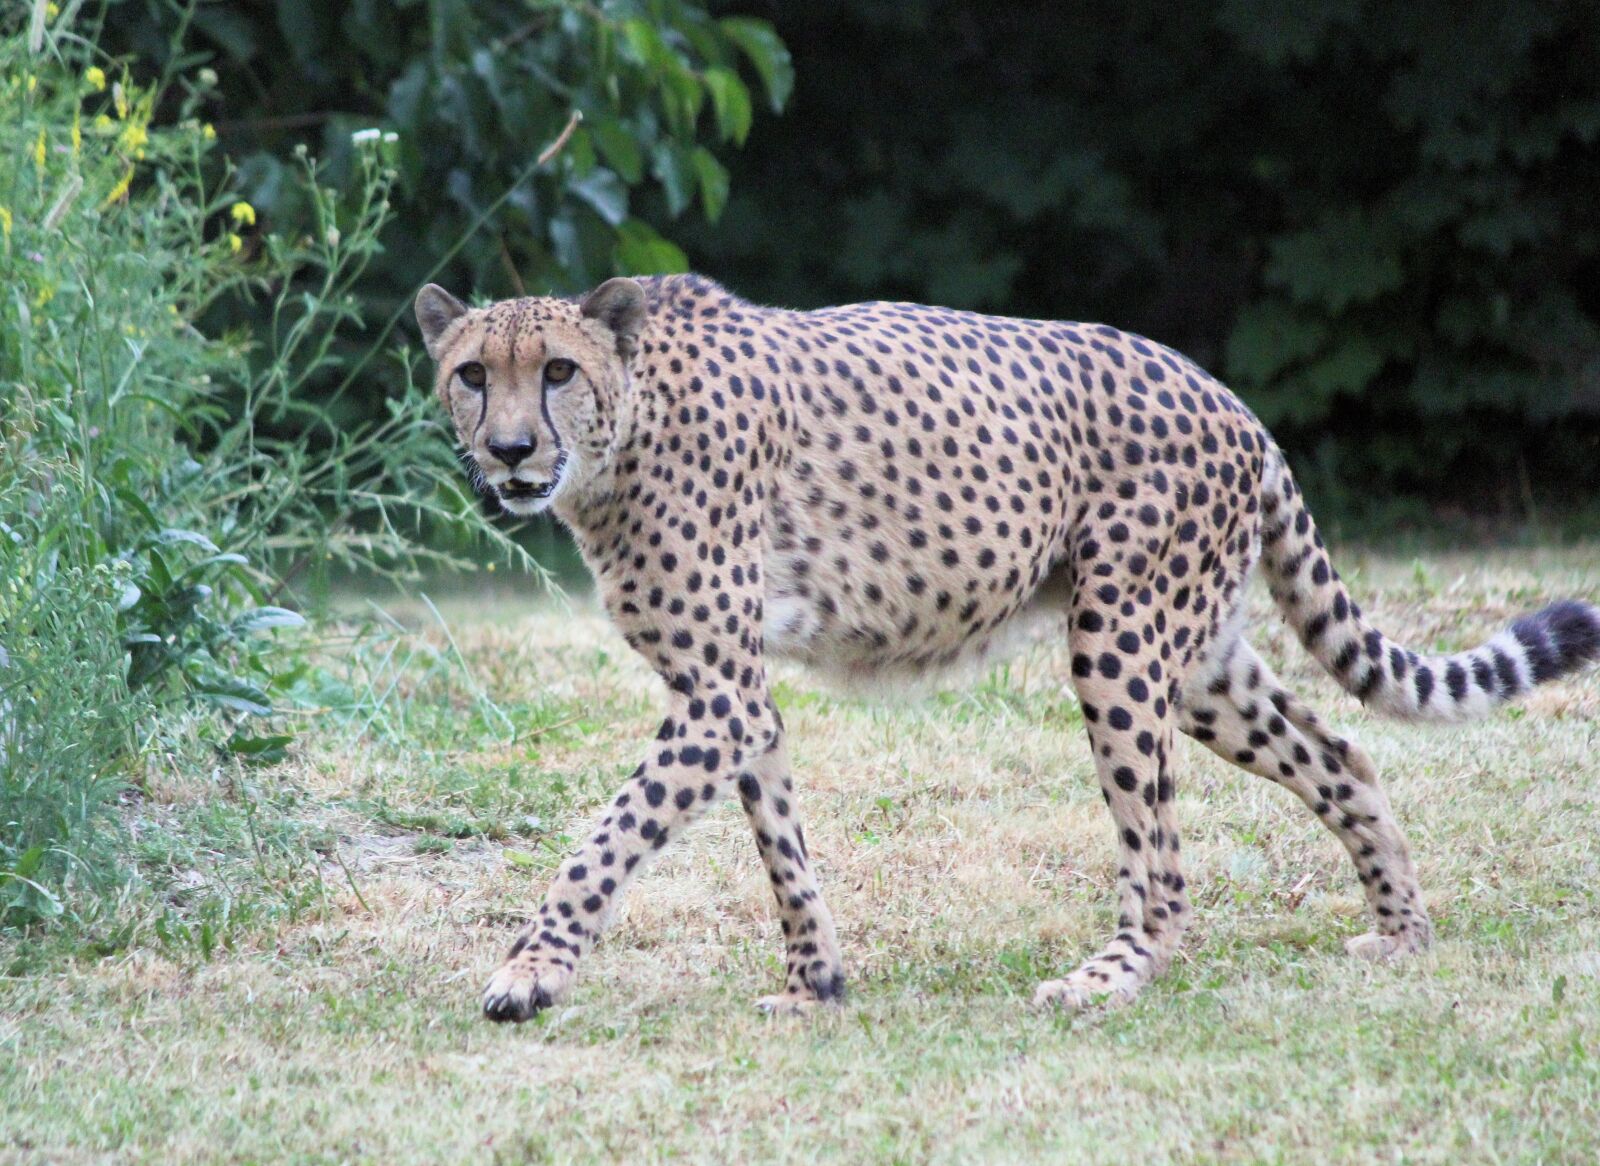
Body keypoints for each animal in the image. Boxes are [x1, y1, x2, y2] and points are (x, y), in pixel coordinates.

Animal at [413, 273, 1600, 1021]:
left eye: (557, 369)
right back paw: (1402, 931)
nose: (509, 449)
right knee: (1341, 752)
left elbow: (604, 840)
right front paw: (815, 985)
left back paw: (1110, 978)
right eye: (473, 374)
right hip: (1197, 662)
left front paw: (529, 973)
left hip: (1117, 642)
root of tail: (1228, 397)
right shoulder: (735, 693)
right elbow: (779, 843)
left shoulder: (717, 695)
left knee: (1163, 862)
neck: (622, 435)